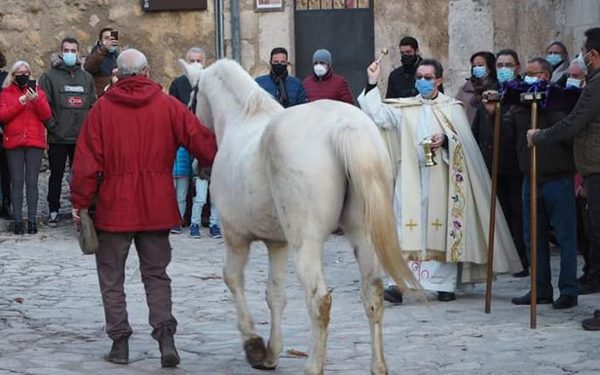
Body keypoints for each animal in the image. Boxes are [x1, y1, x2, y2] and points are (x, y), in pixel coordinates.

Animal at [182, 59, 418, 375]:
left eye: (191, 102)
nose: (200, 167)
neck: (241, 120)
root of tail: (344, 126)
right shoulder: (278, 244)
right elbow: (275, 295)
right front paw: (271, 353)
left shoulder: (236, 237)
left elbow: (233, 279)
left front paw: (254, 345)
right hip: (362, 237)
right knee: (373, 295)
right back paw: (378, 366)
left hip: (307, 243)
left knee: (319, 300)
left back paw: (313, 365)